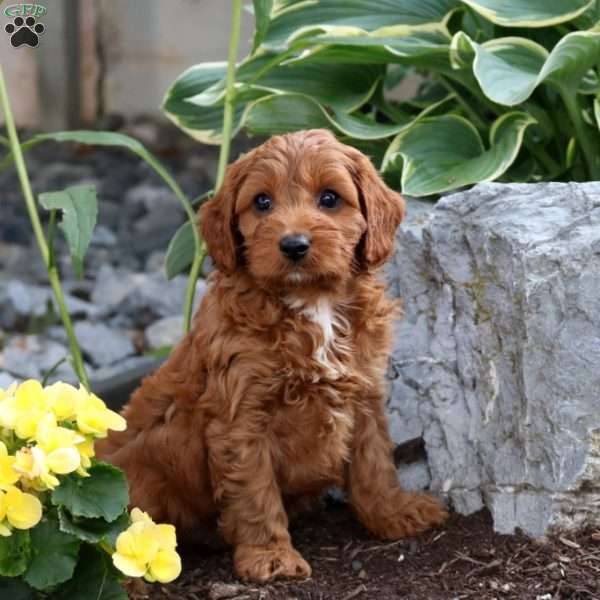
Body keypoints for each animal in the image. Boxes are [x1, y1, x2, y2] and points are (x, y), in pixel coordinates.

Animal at [97, 127, 446, 580]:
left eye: (330, 198)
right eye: (262, 202)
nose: (294, 245)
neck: (312, 304)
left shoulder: (365, 393)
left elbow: (375, 463)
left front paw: (394, 513)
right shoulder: (241, 417)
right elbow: (254, 491)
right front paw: (270, 556)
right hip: (138, 480)